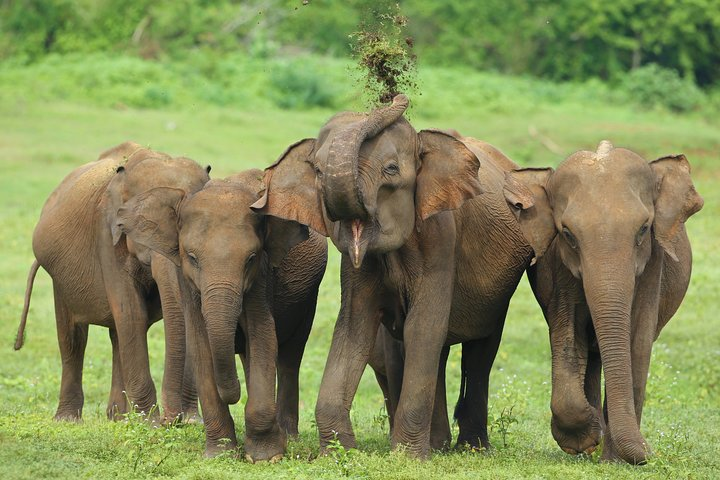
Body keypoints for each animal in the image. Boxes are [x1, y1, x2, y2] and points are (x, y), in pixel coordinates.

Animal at [14, 141, 211, 422]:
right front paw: (150, 422)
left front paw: (190, 422)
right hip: (59, 278)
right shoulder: (106, 234)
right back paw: (70, 420)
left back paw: (118, 417)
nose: (172, 420)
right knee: (73, 337)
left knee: (117, 335)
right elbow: (131, 312)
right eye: (142, 226)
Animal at [116, 169, 328, 462]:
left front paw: (266, 457)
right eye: (192, 257)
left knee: (289, 356)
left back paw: (288, 437)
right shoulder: (187, 282)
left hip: (308, 299)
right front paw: (220, 454)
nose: (234, 395)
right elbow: (200, 345)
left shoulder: (262, 278)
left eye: (250, 258)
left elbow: (263, 336)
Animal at [250, 94, 536, 458]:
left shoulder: (441, 238)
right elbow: (354, 327)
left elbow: (422, 326)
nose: (395, 96)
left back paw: (471, 448)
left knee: (479, 354)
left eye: (391, 170)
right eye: (317, 171)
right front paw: (341, 453)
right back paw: (439, 444)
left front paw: (408, 457)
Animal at [506, 141, 704, 464]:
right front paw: (585, 439)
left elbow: (637, 342)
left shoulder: (653, 266)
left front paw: (615, 460)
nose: (650, 452)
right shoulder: (559, 267)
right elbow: (568, 335)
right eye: (568, 234)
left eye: (643, 229)